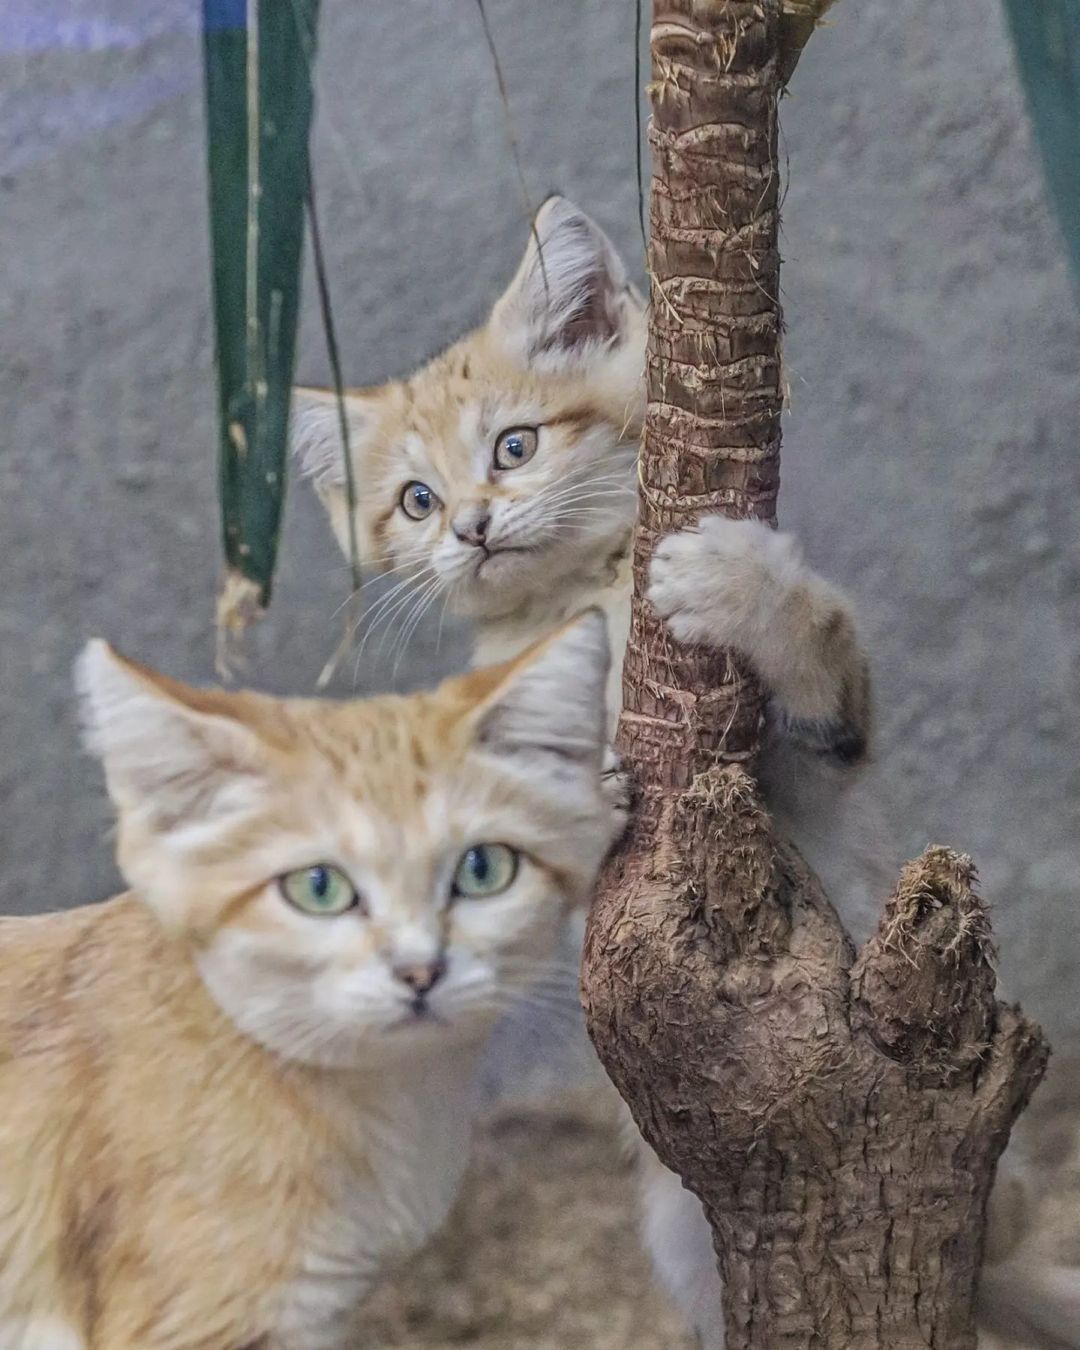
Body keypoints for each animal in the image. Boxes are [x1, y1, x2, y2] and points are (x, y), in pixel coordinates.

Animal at [291, 199, 1074, 1350]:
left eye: (515, 445)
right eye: (417, 500)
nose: (471, 527)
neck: (589, 602)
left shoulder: (809, 761)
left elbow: (818, 652)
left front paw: (744, 586)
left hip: (990, 1190)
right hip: (675, 1229)